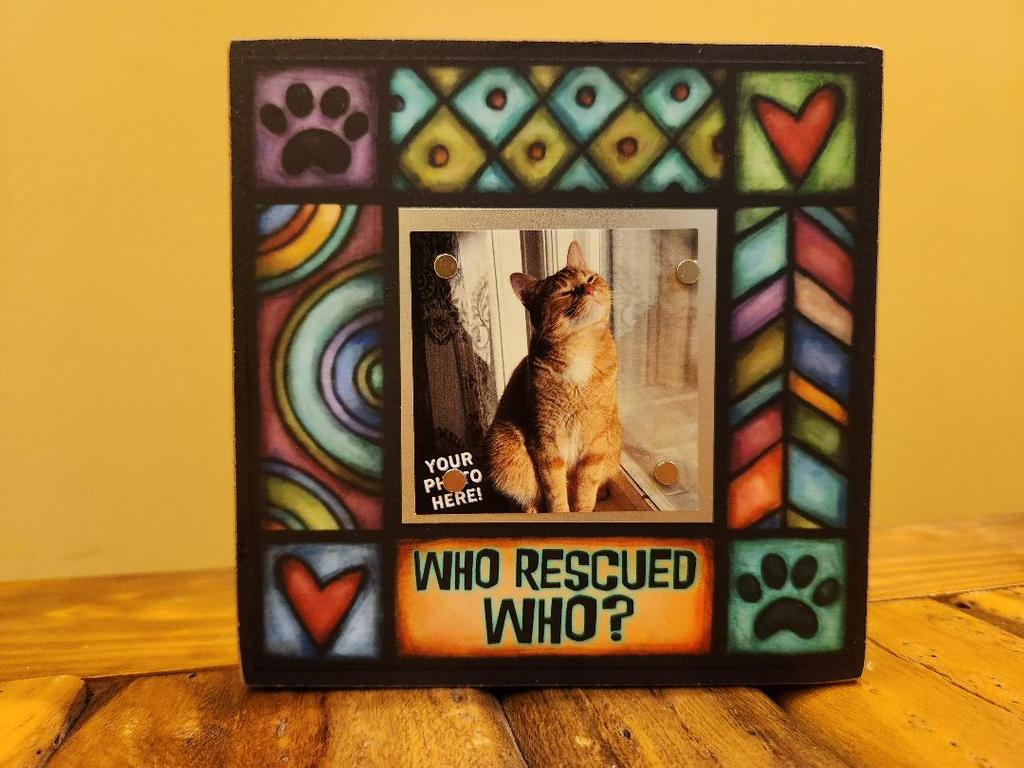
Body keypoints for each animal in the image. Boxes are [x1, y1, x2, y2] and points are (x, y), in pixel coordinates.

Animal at [485, 241, 621, 514]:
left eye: (590, 278)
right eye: (565, 292)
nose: (590, 288)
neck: (580, 349)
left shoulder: (596, 439)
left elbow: (585, 489)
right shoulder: (546, 443)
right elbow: (555, 492)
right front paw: (561, 511)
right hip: (506, 453)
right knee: (528, 499)